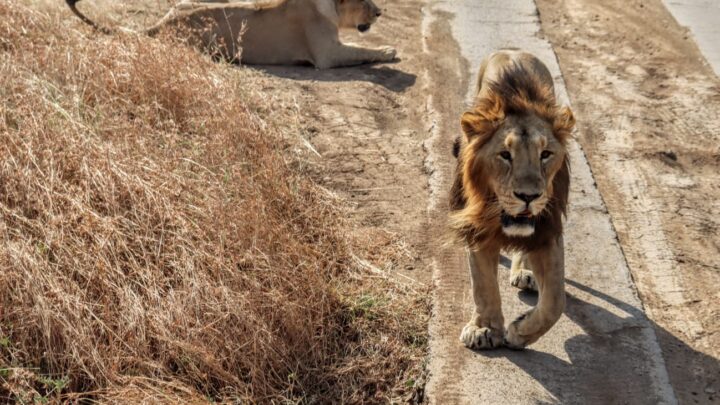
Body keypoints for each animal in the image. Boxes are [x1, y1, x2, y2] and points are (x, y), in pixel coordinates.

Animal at [450, 49, 572, 348]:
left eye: (545, 154)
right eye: (505, 155)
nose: (529, 196)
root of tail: (514, 50)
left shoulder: (548, 229)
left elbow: (555, 301)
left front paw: (519, 332)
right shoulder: (476, 226)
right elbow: (483, 284)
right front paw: (483, 329)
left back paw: (524, 273)